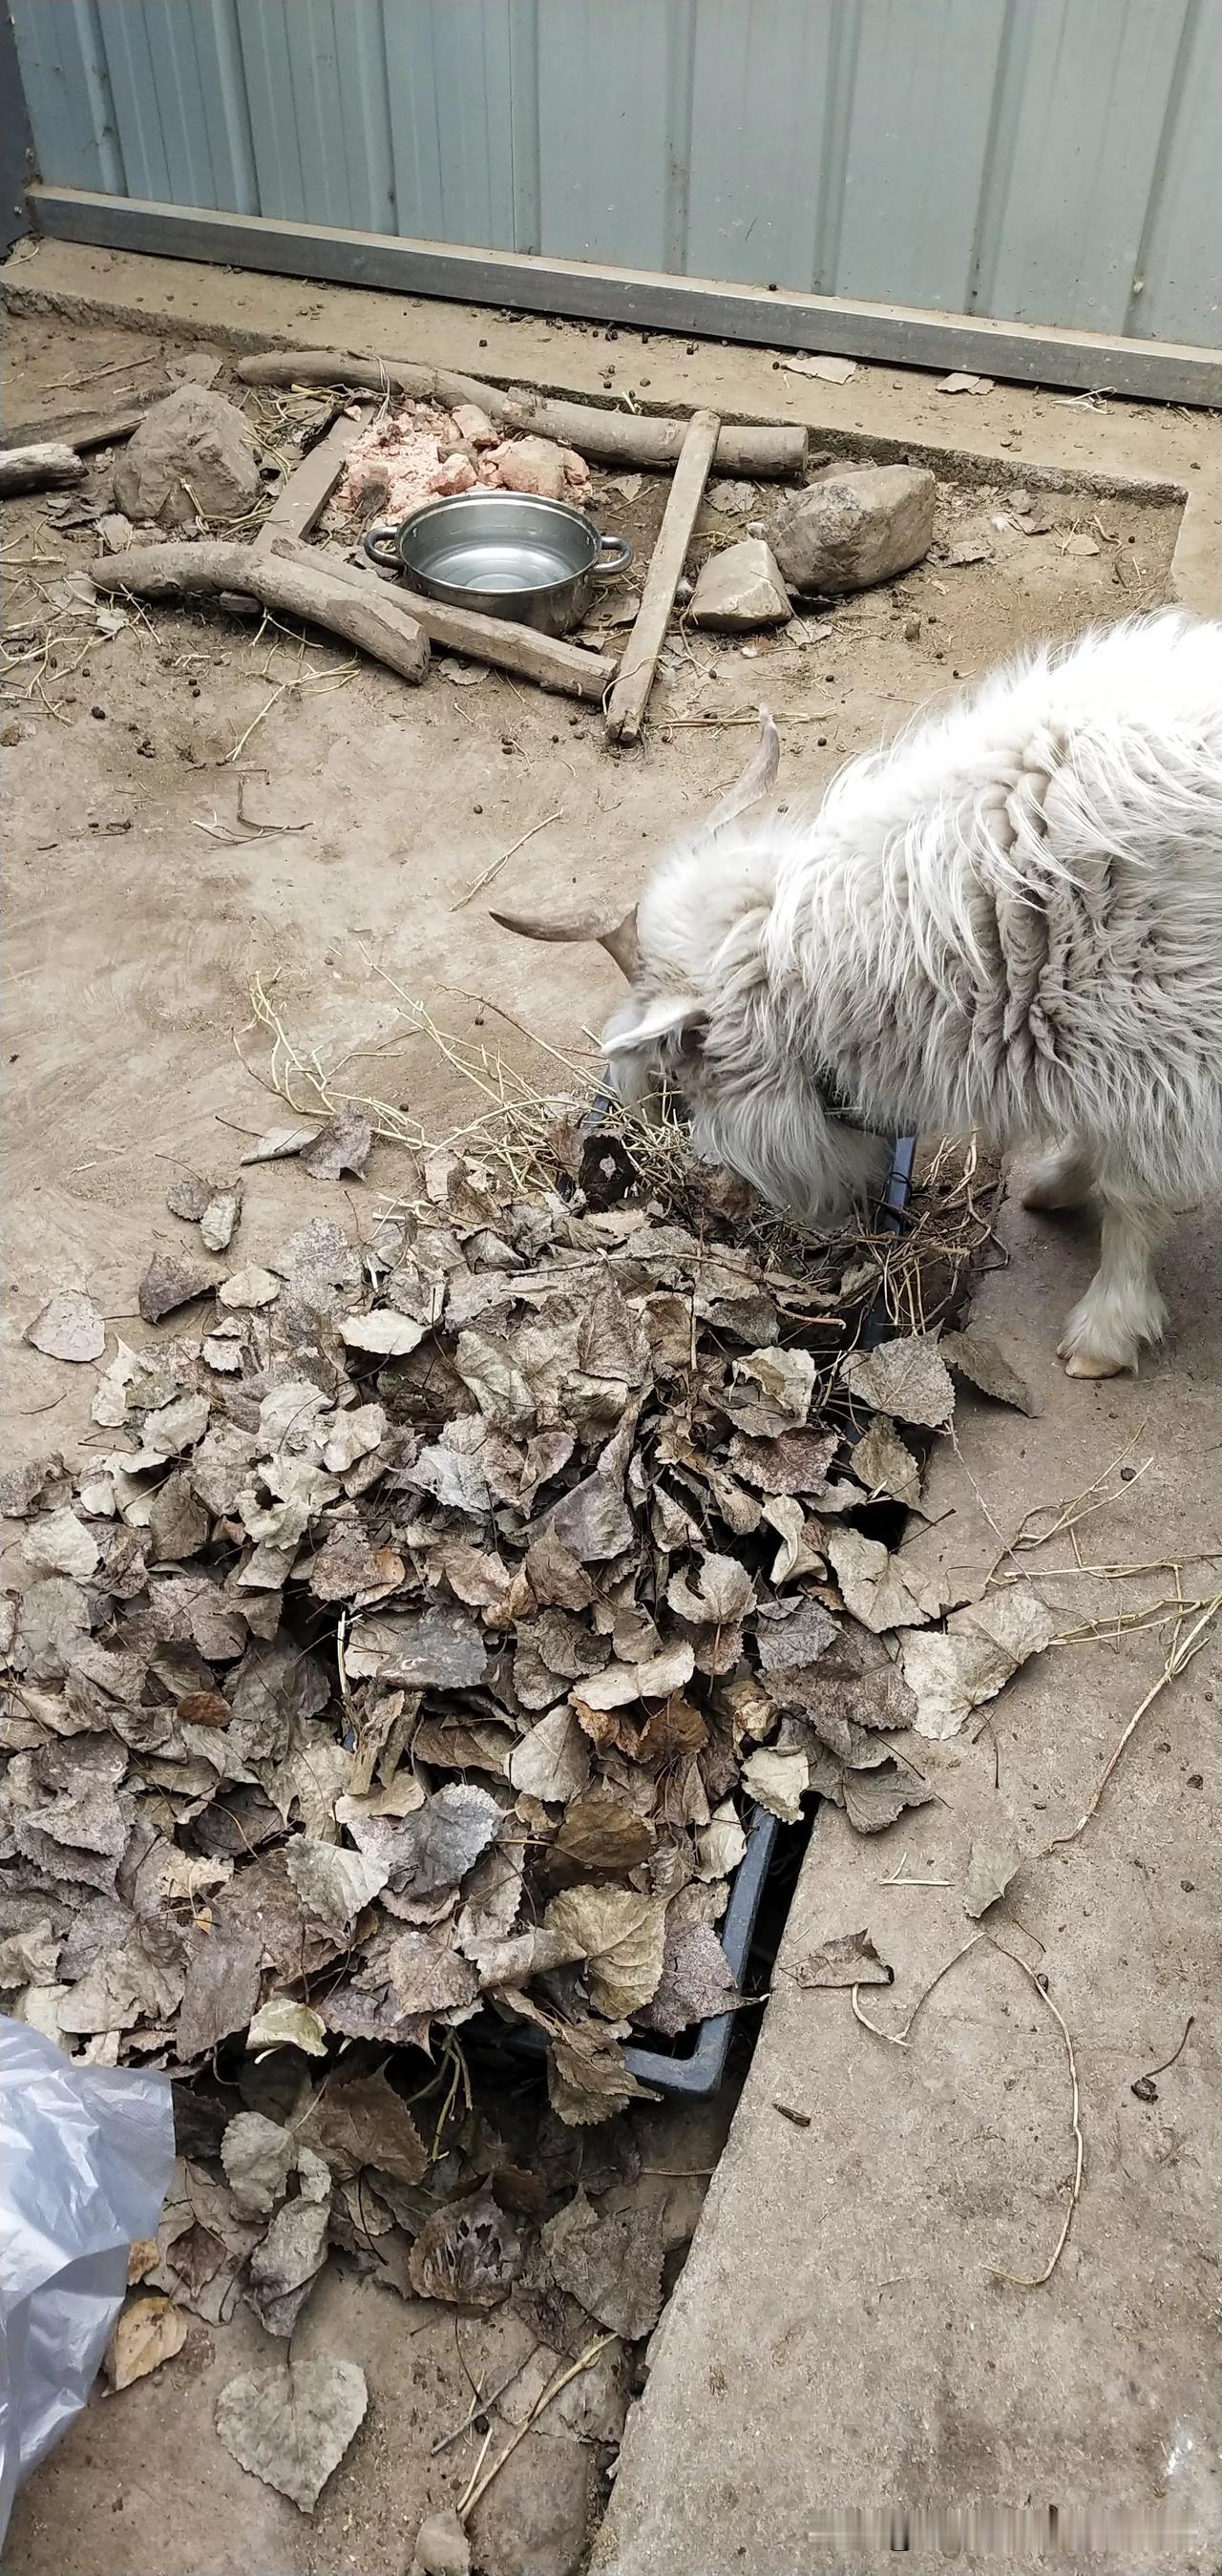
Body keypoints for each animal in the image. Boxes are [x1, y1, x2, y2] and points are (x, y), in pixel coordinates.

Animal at [497, 613, 1222, 1380]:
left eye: (686, 1067)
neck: (991, 917)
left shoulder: (1165, 1046)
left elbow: (1131, 1195)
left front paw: (1103, 1334)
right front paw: (1053, 1184)